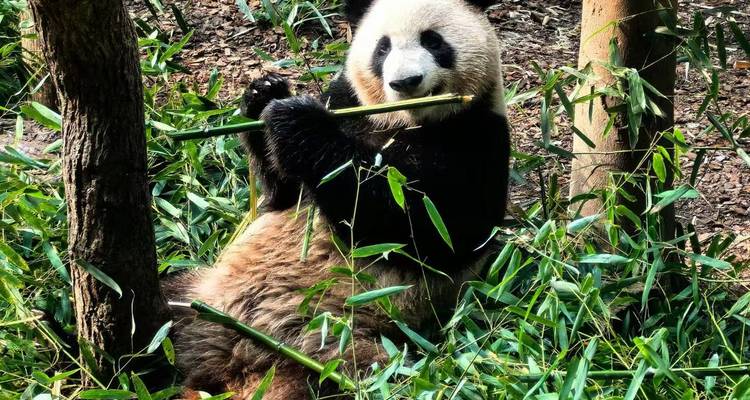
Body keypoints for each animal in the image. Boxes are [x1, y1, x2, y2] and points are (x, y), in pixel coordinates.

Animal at [166, 0, 510, 398]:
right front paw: (265, 94)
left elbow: (433, 229)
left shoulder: (476, 139)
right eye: (382, 48)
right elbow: (282, 194)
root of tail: (238, 368)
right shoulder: (345, 100)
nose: (405, 82)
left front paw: (297, 120)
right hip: (197, 296)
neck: (401, 121)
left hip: (341, 349)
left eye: (433, 40)